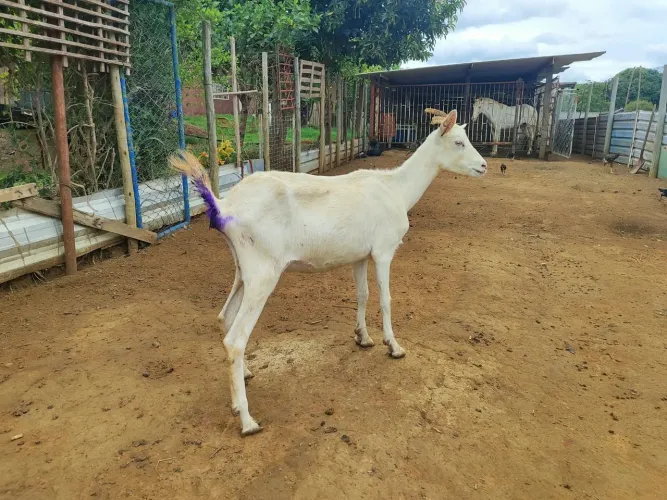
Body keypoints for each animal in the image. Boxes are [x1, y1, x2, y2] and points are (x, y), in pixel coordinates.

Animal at [169, 108, 487, 436]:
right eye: (459, 142)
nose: (484, 166)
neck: (397, 189)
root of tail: (223, 206)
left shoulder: (360, 256)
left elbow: (363, 295)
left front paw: (363, 337)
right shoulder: (384, 251)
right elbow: (386, 299)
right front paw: (394, 346)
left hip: (242, 269)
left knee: (225, 317)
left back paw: (244, 376)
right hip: (263, 272)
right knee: (236, 338)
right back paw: (247, 419)